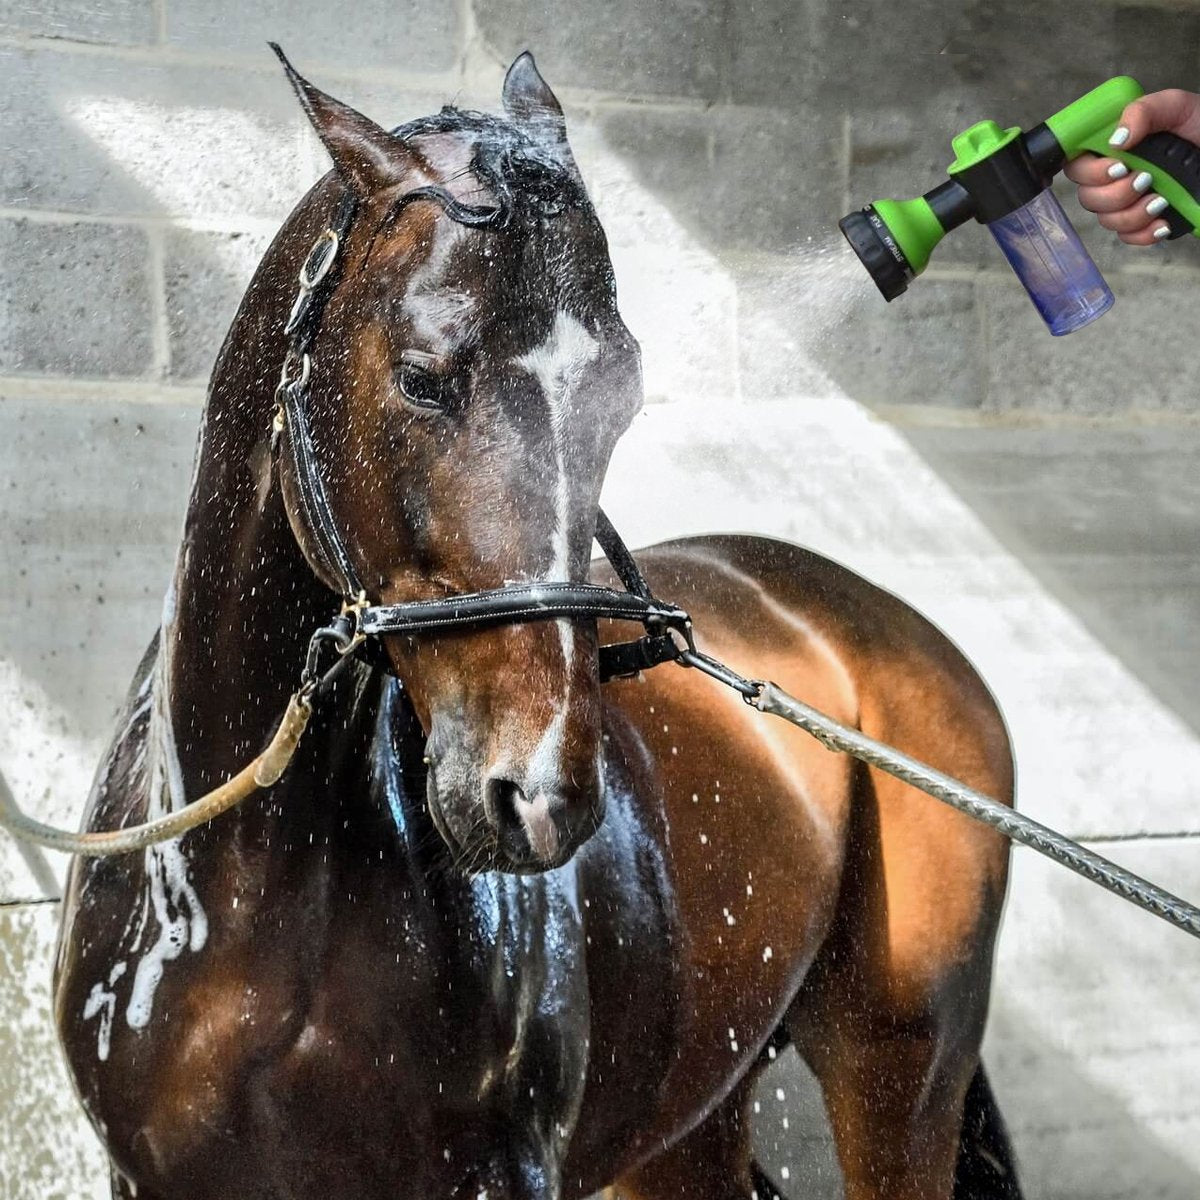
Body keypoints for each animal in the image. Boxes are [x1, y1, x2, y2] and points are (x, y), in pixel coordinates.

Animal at [53, 48, 1021, 1200]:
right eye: (423, 378)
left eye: (624, 396)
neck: (237, 896)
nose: (542, 795)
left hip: (898, 1071)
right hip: (693, 1120)